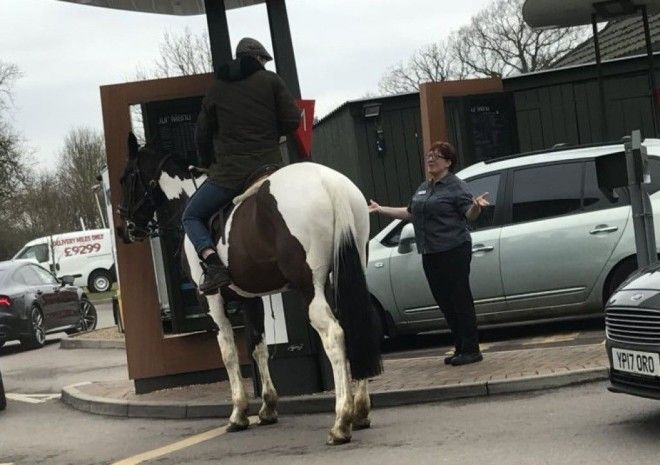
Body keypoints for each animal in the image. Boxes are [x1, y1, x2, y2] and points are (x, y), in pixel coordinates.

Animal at [117, 134, 382, 442]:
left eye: (126, 177)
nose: (126, 228)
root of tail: (328, 181)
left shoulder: (211, 300)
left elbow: (229, 353)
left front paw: (239, 413)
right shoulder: (251, 299)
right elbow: (258, 348)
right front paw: (267, 407)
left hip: (310, 285)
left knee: (334, 334)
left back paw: (341, 420)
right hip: (346, 271)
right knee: (357, 322)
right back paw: (360, 411)